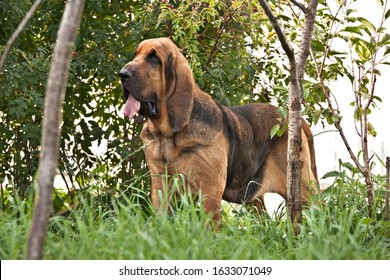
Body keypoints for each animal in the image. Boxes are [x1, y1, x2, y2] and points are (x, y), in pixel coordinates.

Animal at [118, 37, 316, 223]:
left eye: (154, 58)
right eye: (136, 54)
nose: (122, 74)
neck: (167, 136)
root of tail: (292, 117)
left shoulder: (210, 191)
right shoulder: (161, 188)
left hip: (303, 189)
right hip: (255, 199)